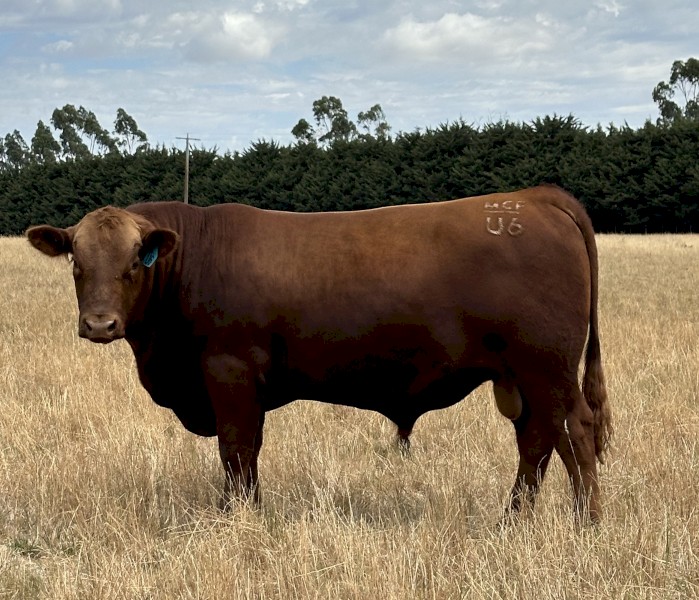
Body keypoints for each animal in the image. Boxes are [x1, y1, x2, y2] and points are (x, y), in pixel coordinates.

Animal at [26, 185, 611, 522]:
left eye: (134, 262)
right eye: (76, 261)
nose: (99, 324)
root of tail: (537, 196)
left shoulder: (230, 372)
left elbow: (236, 449)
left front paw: (237, 518)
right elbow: (246, 453)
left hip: (545, 366)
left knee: (560, 436)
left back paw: (552, 523)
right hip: (526, 376)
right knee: (553, 439)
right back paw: (549, 522)